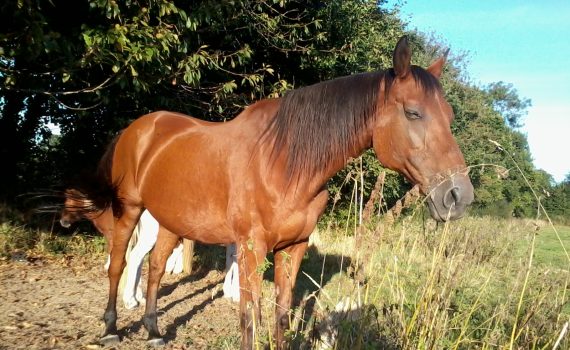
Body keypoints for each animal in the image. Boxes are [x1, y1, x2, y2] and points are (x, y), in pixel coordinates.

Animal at [81, 37, 470, 348]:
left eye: (450, 116)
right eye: (413, 112)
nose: (458, 196)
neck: (283, 163)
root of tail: (138, 129)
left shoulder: (293, 247)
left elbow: (281, 316)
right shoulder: (251, 250)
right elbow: (249, 319)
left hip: (170, 220)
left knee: (157, 267)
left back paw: (153, 331)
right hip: (130, 209)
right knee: (118, 265)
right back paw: (110, 329)